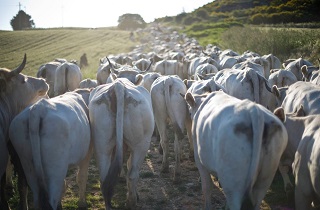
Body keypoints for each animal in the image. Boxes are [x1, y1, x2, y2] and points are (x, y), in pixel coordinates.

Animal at [88, 78, 154, 209]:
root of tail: (118, 86)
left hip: (101, 145)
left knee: (104, 178)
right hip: (141, 145)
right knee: (132, 174)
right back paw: (131, 202)